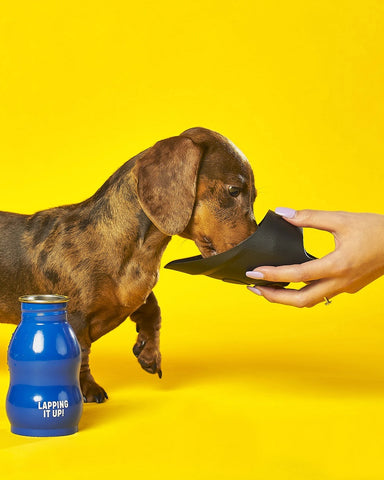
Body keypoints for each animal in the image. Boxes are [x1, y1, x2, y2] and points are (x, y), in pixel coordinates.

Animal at [0, 127, 258, 402]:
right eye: (234, 190)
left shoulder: (137, 294)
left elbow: (153, 310)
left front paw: (149, 352)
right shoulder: (75, 317)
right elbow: (80, 351)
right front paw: (88, 387)